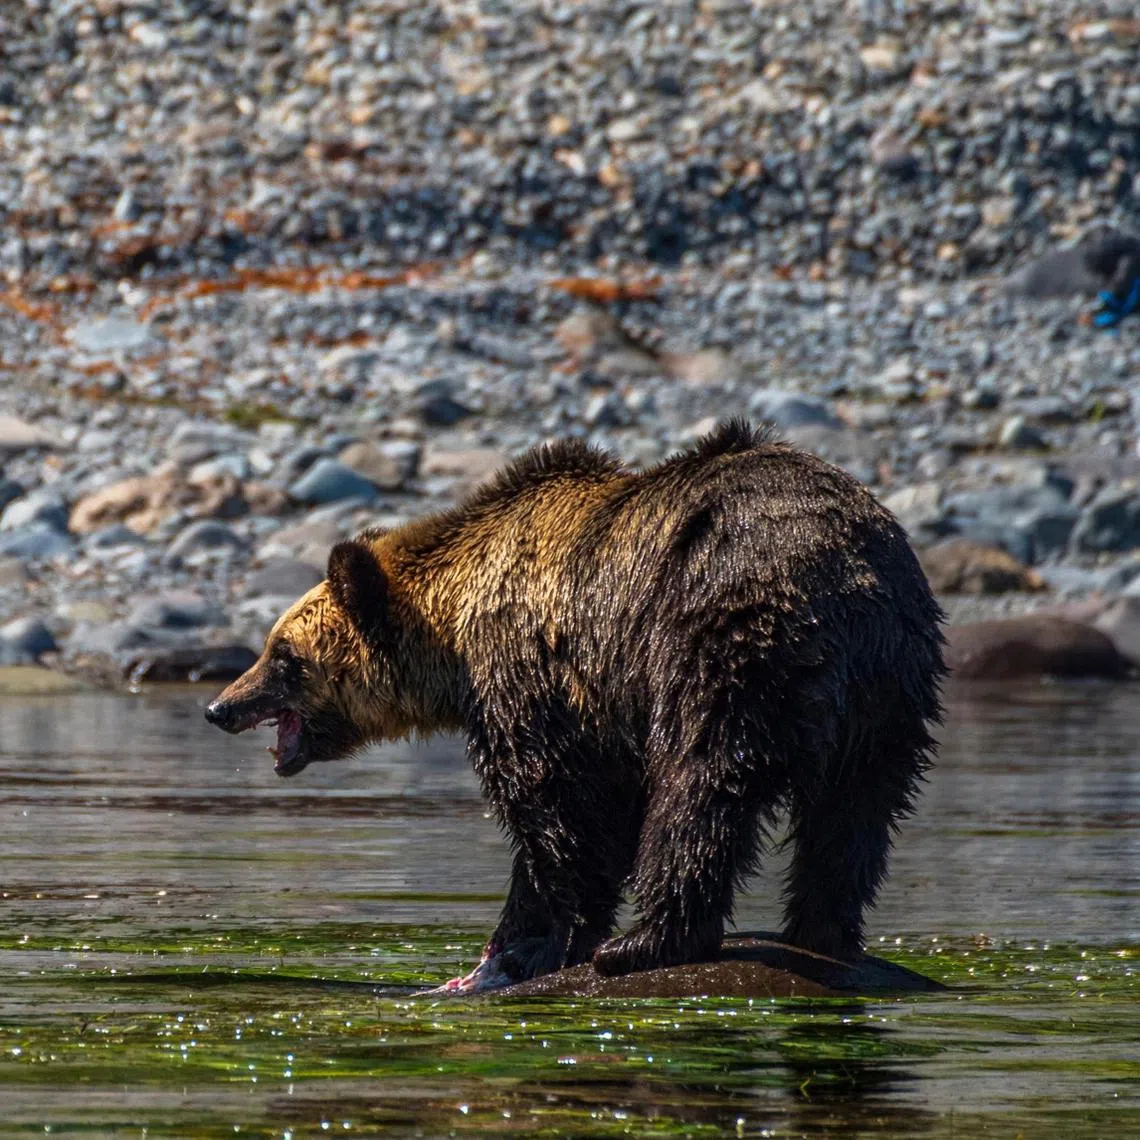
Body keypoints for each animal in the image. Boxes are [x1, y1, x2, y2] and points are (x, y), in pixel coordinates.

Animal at [205, 420, 945, 992]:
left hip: (725, 640)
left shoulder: (537, 679)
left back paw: (647, 942)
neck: (453, 635)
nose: (220, 706)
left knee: (702, 784)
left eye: (281, 654)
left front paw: (520, 947)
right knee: (855, 812)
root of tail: (845, 576)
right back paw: (822, 934)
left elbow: (558, 814)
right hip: (890, 684)